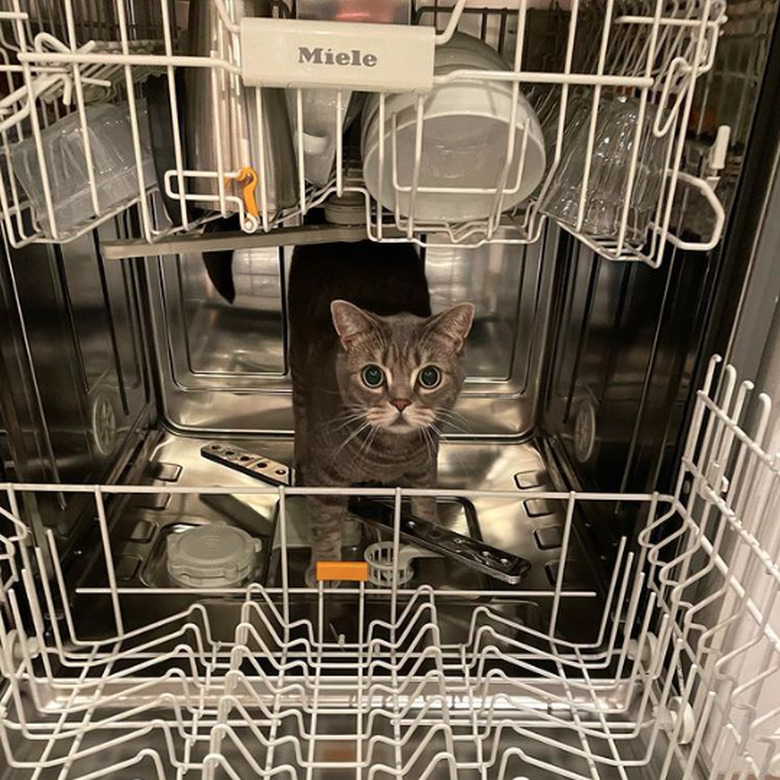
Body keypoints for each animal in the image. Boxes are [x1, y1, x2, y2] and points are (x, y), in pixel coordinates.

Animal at [290, 241, 472, 580]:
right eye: (373, 375)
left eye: (429, 377)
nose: (400, 402)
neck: (389, 455)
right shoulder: (324, 474)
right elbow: (325, 522)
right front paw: (326, 566)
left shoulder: (425, 463)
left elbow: (426, 503)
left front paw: (433, 534)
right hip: (296, 363)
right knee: (299, 411)